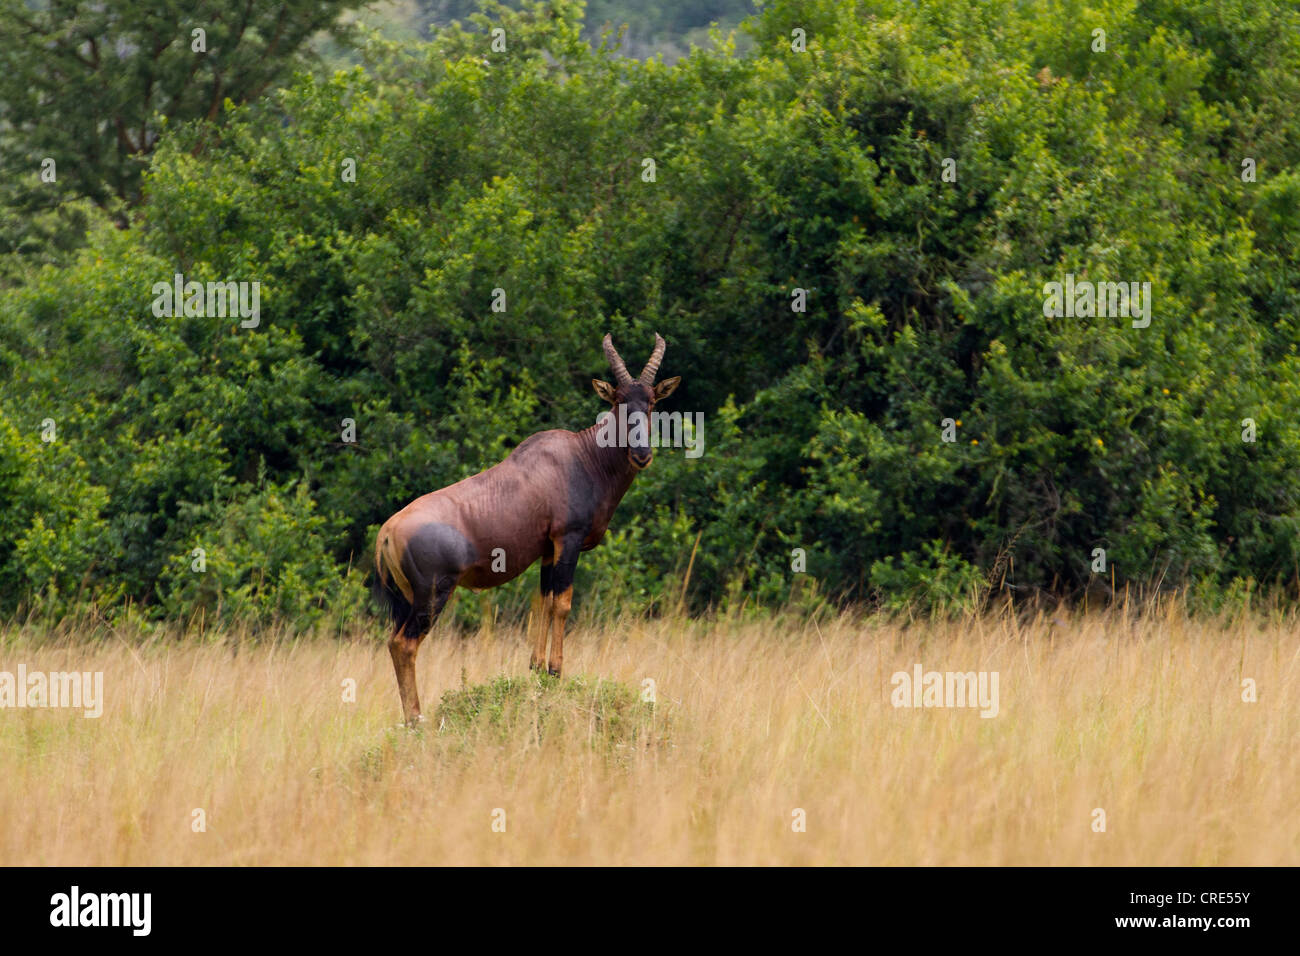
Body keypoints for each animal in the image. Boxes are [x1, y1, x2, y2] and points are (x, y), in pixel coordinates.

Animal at [377, 332, 681, 723]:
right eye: (618, 402)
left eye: (652, 402)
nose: (642, 455)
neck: (581, 457)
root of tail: (387, 533)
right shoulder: (567, 540)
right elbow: (563, 603)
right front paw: (556, 670)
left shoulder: (547, 550)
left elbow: (543, 602)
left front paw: (537, 668)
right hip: (433, 594)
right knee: (404, 644)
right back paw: (416, 718)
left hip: (405, 599)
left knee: (392, 642)